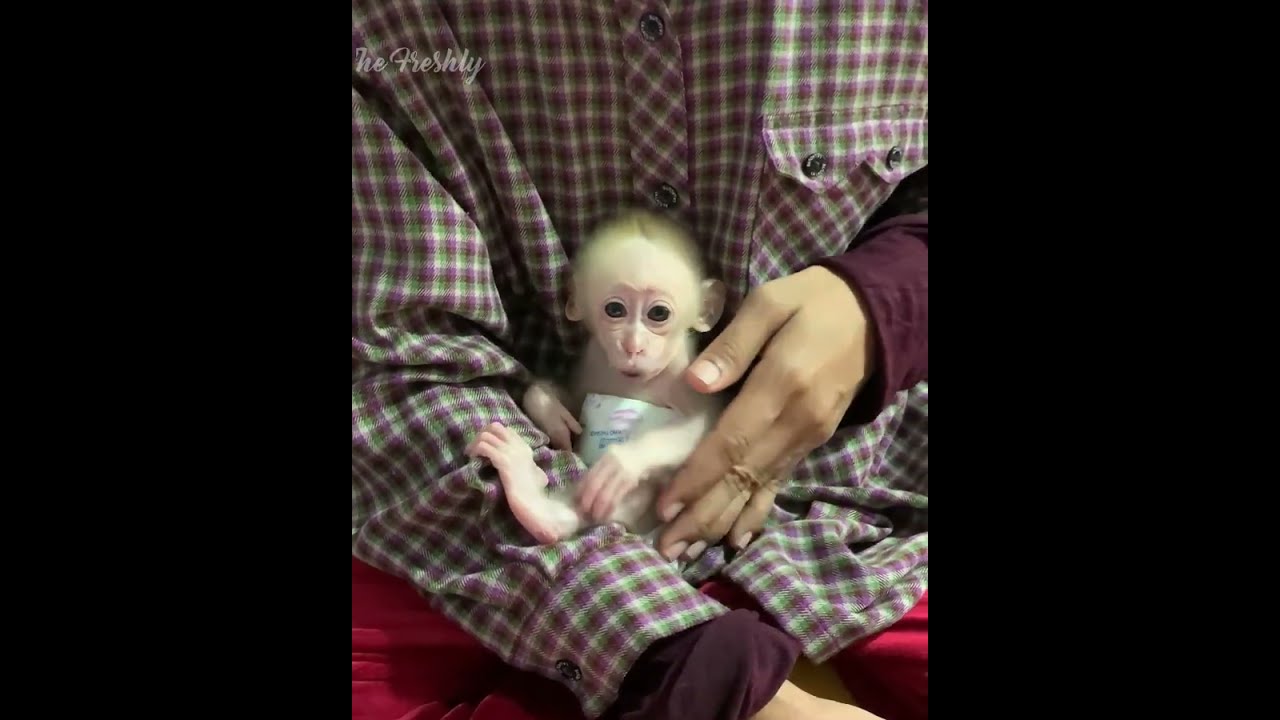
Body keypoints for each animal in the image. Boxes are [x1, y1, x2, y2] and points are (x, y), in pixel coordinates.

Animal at [465, 208, 728, 545]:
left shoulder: (688, 377)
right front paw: (552, 414)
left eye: (658, 314)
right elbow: (570, 397)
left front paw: (623, 463)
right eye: (615, 310)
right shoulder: (593, 362)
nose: (632, 346)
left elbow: (704, 422)